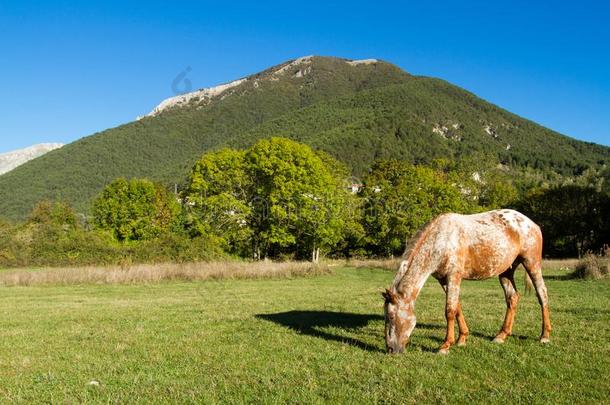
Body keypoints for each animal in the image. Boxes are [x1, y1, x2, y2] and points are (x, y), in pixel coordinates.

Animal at [382, 208, 548, 354]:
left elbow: (449, 310)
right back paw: (501, 335)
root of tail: (531, 223)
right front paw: (462, 338)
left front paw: (445, 346)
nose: (391, 349)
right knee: (512, 298)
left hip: (532, 263)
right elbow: (457, 307)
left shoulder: (454, 276)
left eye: (391, 317)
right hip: (506, 272)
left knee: (542, 294)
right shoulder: (444, 280)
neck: (441, 240)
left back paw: (545, 336)